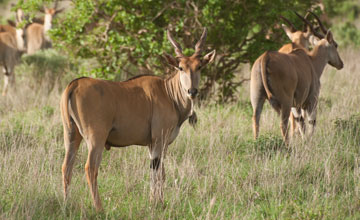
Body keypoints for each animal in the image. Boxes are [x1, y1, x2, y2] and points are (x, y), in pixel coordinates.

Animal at [60, 27, 215, 211]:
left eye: (199, 67)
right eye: (180, 67)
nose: (192, 91)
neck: (168, 92)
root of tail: (74, 84)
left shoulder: (152, 144)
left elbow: (158, 172)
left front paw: (155, 200)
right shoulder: (159, 140)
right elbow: (158, 172)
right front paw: (156, 203)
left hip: (71, 136)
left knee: (66, 167)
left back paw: (67, 203)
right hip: (95, 138)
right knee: (90, 168)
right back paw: (99, 208)